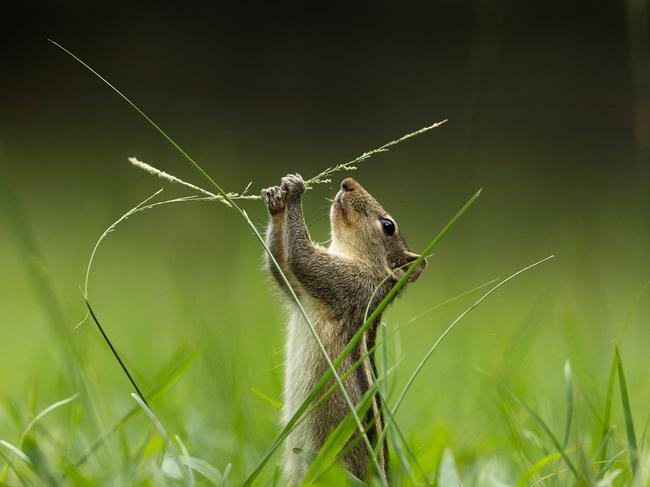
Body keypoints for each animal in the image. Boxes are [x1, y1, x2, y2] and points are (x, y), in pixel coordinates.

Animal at [260, 174, 426, 484]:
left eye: (388, 226)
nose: (348, 182)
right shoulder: (301, 291)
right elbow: (280, 264)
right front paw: (277, 200)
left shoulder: (345, 282)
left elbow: (299, 256)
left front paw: (296, 191)